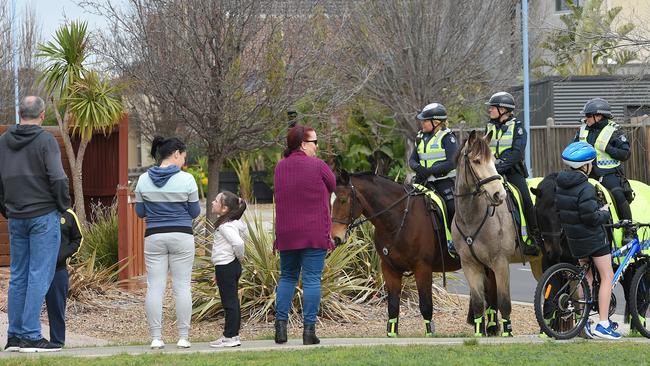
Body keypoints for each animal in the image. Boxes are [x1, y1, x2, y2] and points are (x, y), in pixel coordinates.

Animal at [330, 172, 460, 338]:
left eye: (343, 200)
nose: (335, 238)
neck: (398, 219)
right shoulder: (389, 269)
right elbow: (392, 305)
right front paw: (392, 333)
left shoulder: (422, 268)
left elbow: (425, 304)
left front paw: (430, 333)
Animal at [450, 129, 516, 338]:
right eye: (477, 161)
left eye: (494, 161)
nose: (499, 195)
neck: (472, 218)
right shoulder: (471, 265)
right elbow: (479, 303)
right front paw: (480, 332)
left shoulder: (501, 263)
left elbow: (504, 302)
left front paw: (507, 333)